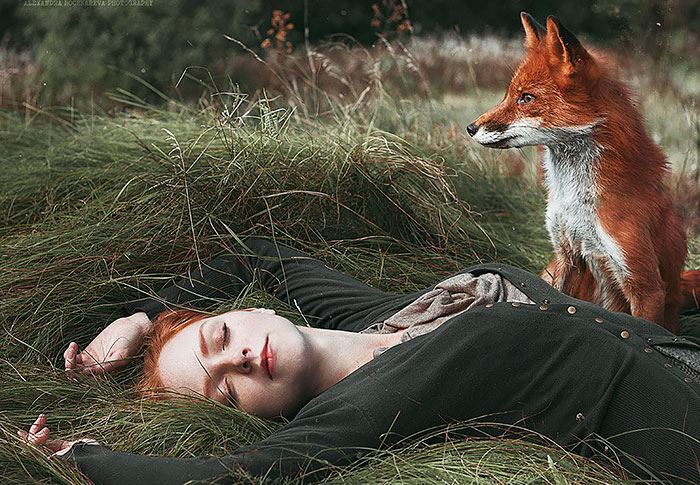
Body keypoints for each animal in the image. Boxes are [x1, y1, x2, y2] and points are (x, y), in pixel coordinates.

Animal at [467, 12, 687, 333]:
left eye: (526, 98)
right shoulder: (567, 256)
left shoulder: (644, 283)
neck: (574, 201)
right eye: (508, 95)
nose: (470, 128)